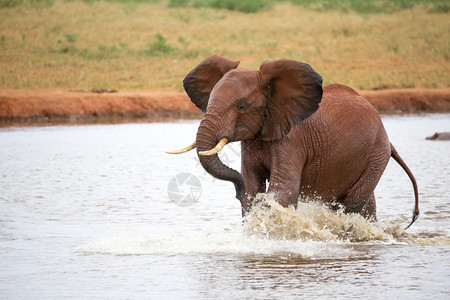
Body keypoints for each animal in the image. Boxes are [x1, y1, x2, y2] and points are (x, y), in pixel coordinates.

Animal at [167, 56, 420, 229]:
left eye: (242, 106)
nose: (237, 190)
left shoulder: (292, 139)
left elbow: (283, 190)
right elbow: (253, 185)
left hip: (376, 153)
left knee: (352, 204)